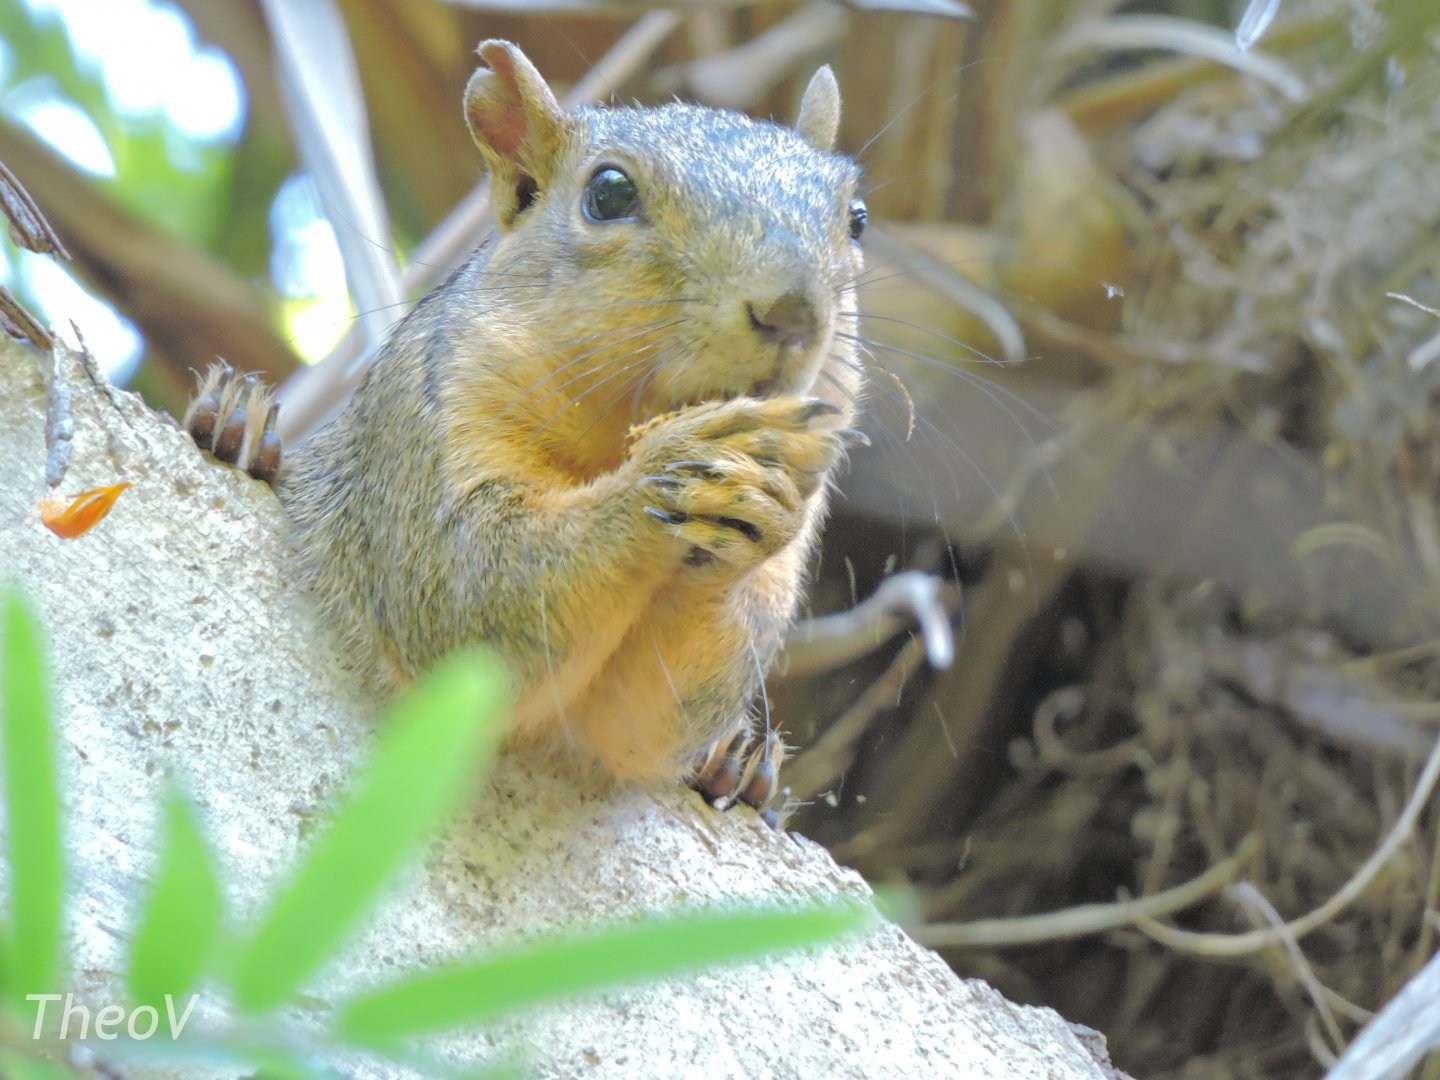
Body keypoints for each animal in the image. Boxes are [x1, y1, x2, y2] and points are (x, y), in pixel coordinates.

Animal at [186, 40, 867, 821]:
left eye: (857, 218)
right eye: (608, 194)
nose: (793, 311)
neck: (614, 433)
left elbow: (645, 719)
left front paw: (755, 502)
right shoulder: (430, 416)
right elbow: (466, 596)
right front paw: (667, 472)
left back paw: (740, 767)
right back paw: (236, 425)